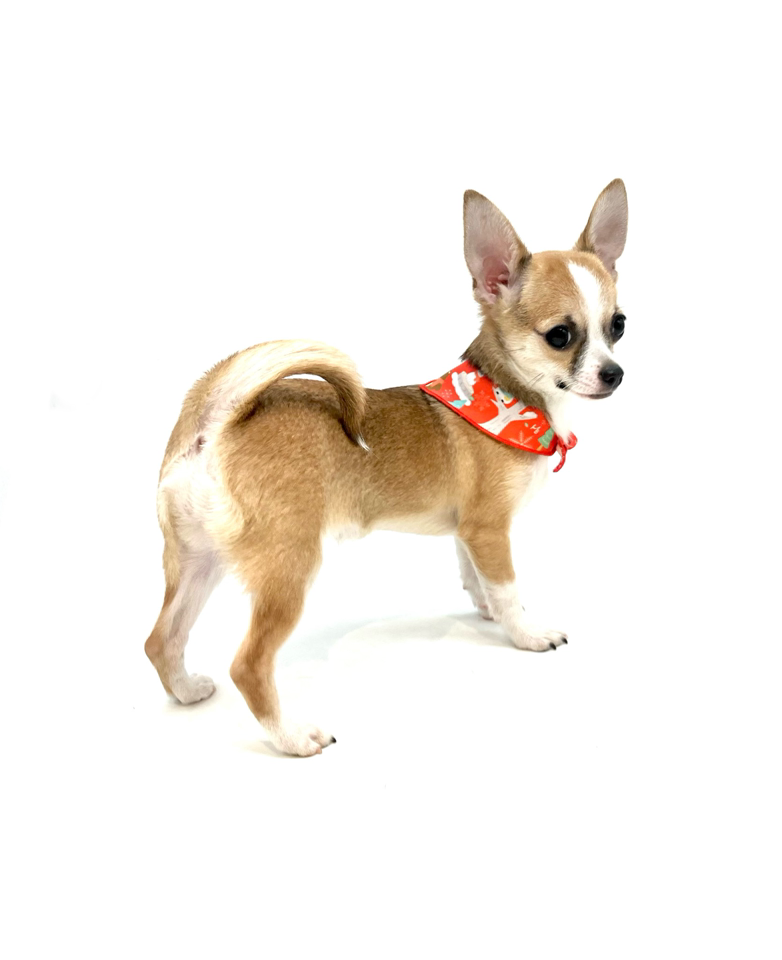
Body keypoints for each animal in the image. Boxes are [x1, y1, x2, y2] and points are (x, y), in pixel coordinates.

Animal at [145, 180, 628, 756]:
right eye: (560, 336)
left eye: (619, 325)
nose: (615, 373)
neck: (509, 400)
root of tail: (219, 416)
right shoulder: (490, 529)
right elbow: (508, 587)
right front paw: (527, 633)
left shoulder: (468, 530)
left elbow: (475, 576)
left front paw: (487, 610)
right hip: (288, 568)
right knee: (248, 665)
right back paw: (293, 737)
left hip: (198, 561)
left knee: (161, 639)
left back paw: (187, 690)